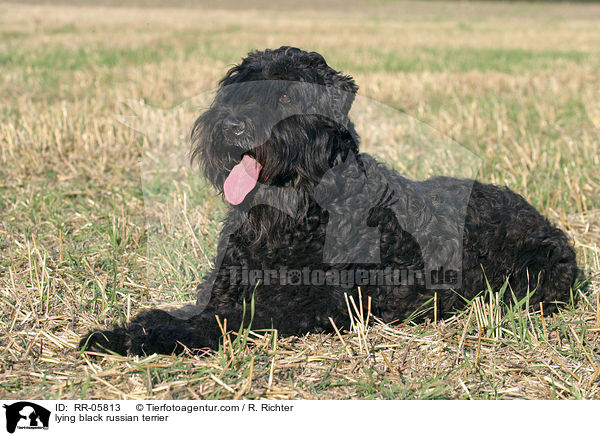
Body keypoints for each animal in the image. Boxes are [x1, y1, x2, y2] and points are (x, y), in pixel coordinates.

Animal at [82, 46, 580, 356]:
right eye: (237, 88)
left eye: (285, 94)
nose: (231, 126)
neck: (301, 214)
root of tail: (540, 216)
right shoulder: (226, 285)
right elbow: (186, 311)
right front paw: (120, 331)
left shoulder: (302, 303)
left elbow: (218, 322)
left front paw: (141, 338)